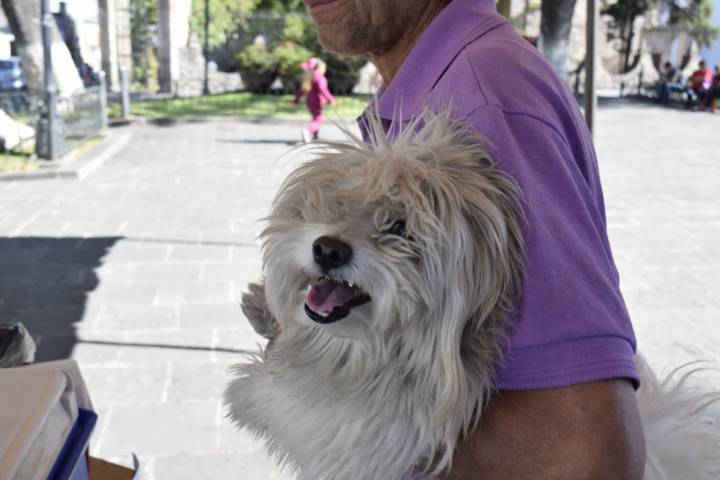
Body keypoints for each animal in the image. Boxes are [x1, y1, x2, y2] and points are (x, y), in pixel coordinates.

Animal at [225, 111, 720, 480]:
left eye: (399, 228)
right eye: (336, 204)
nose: (328, 249)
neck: (368, 353)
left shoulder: (363, 432)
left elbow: (282, 401)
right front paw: (262, 305)